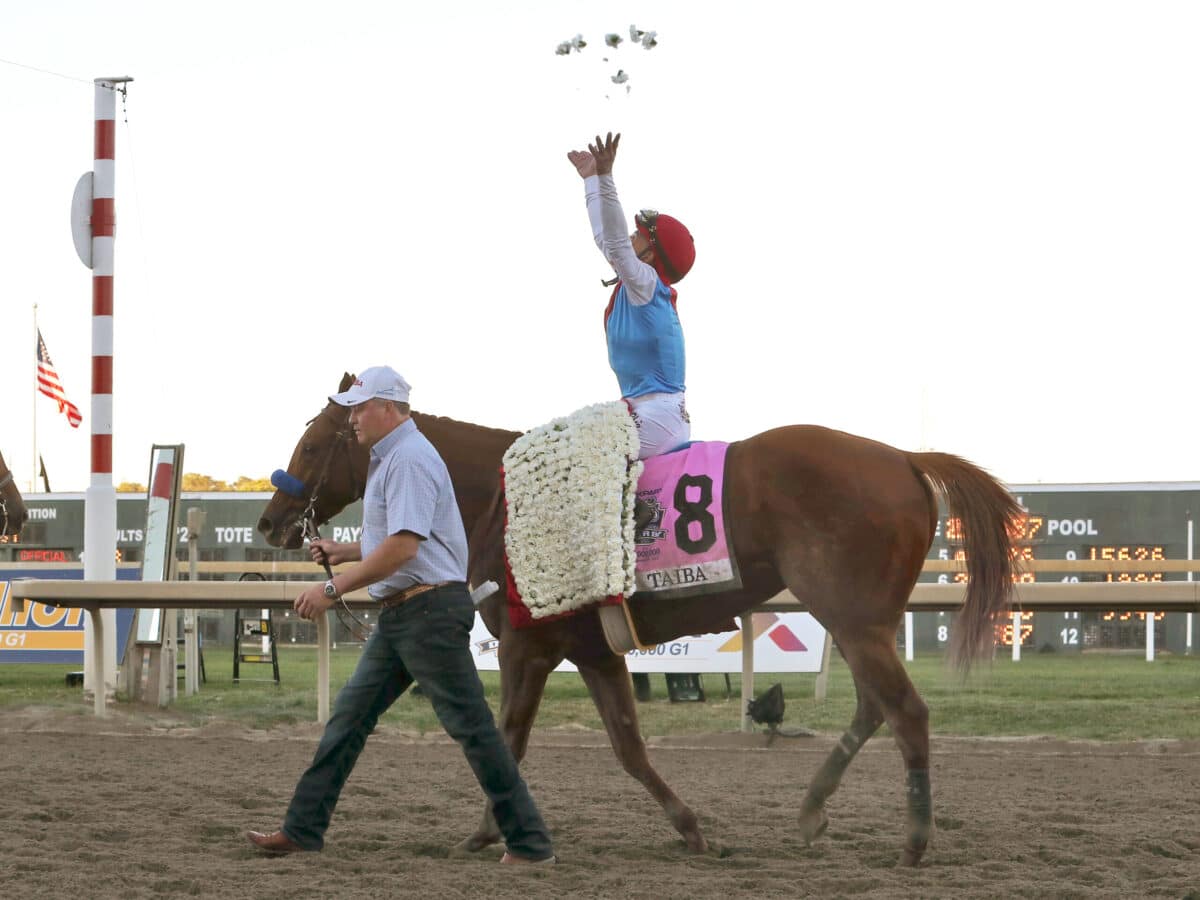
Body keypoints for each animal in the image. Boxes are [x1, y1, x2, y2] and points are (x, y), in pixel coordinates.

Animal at [255, 374, 1022, 868]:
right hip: (864, 620)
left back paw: (914, 841)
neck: (496, 498)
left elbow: (506, 741)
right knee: (874, 706)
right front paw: (691, 831)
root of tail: (904, 458)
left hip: (852, 617)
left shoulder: (528, 646)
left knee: (906, 711)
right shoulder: (593, 649)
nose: (270, 522)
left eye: (315, 443)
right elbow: (627, 746)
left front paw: (490, 835)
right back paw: (812, 810)